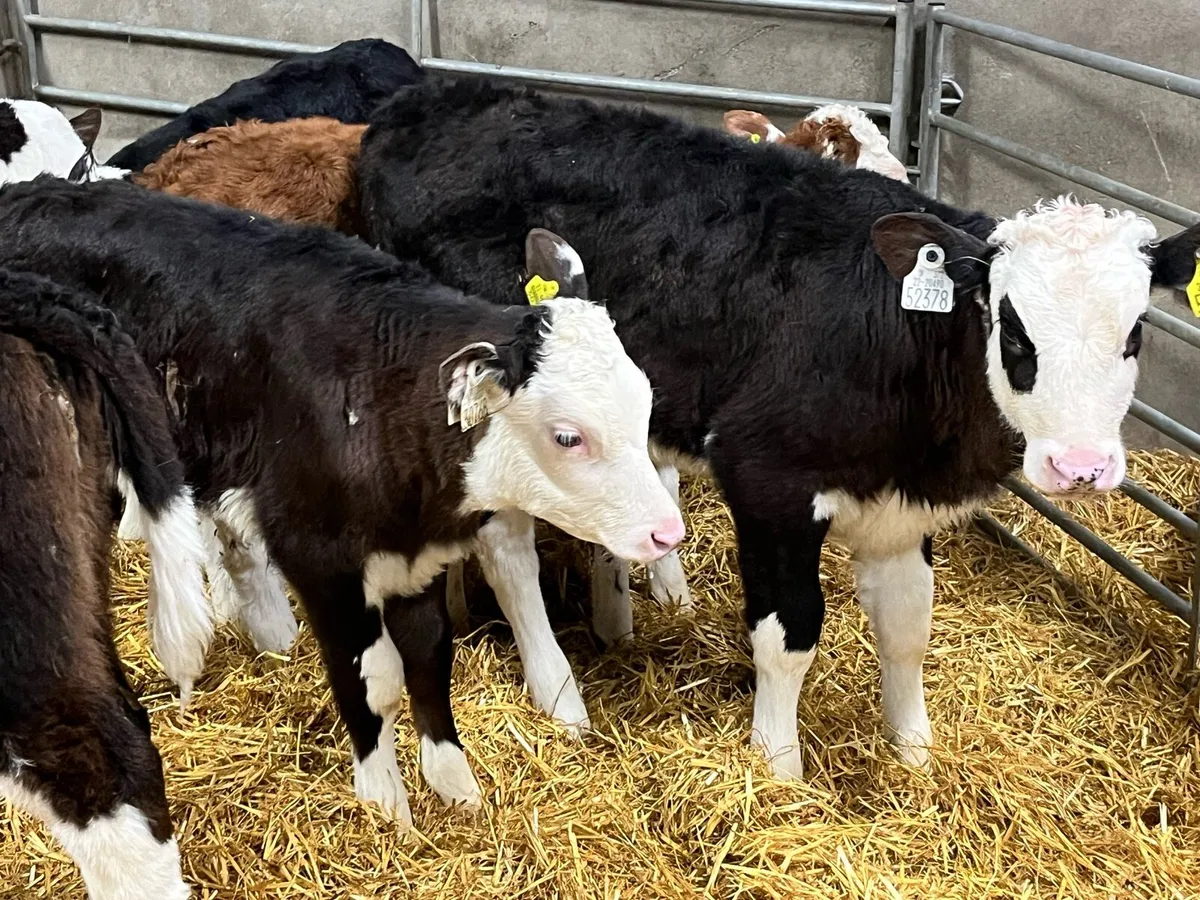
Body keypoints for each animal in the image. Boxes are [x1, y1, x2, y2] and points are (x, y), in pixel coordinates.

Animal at [0, 176, 685, 826]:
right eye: (568, 436)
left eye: (645, 400)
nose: (666, 532)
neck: (376, 395)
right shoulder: (320, 561)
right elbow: (373, 681)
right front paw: (386, 805)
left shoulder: (415, 557)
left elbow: (429, 657)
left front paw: (455, 787)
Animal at [355, 78, 1184, 779]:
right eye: (1012, 327)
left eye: (1135, 332)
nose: (1081, 466)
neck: (898, 331)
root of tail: (428, 98)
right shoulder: (769, 479)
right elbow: (789, 635)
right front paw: (779, 766)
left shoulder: (900, 504)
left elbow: (908, 624)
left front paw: (914, 755)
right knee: (509, 551)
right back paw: (560, 696)